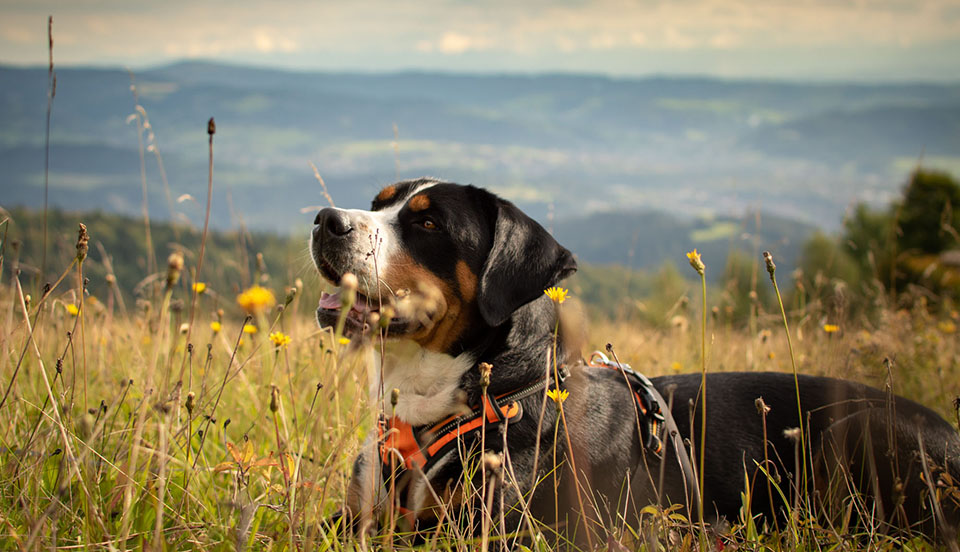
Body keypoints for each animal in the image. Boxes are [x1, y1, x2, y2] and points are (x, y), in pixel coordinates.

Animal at [314, 178, 960, 544]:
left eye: (426, 221)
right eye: (377, 205)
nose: (325, 219)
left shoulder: (489, 530)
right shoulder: (358, 512)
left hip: (855, 433)